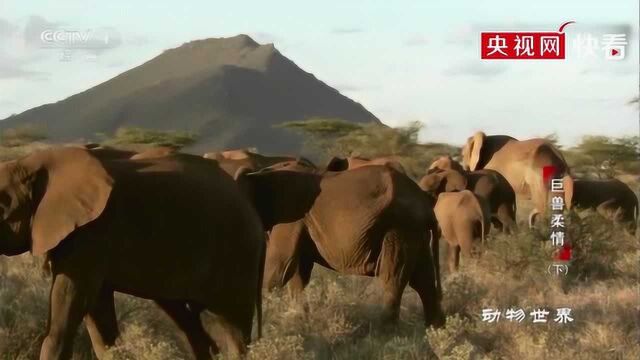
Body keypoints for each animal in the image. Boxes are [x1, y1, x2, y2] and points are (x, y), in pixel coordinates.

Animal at [0, 147, 264, 360]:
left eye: (1, 204)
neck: (30, 161)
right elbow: (99, 320)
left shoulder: (90, 234)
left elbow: (69, 305)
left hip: (237, 251)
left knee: (233, 326)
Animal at [235, 162, 444, 328]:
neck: (262, 173)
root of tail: (427, 205)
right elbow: (298, 272)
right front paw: (302, 321)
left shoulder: (290, 218)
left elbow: (280, 267)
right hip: (415, 232)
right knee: (423, 281)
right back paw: (434, 331)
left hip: (399, 227)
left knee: (392, 279)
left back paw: (384, 334)